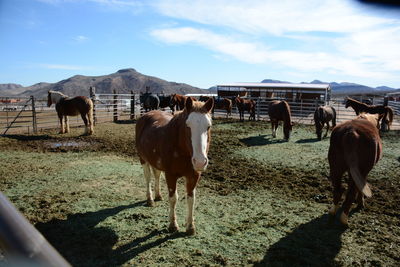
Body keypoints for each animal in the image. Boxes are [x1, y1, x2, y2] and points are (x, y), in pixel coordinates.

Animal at [134, 97, 214, 236]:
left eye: (208, 126)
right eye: (188, 126)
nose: (200, 162)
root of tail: (146, 115)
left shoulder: (194, 176)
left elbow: (191, 199)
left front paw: (190, 227)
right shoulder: (170, 175)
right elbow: (173, 198)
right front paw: (173, 225)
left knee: (156, 175)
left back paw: (158, 196)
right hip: (143, 159)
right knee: (148, 177)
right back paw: (150, 199)